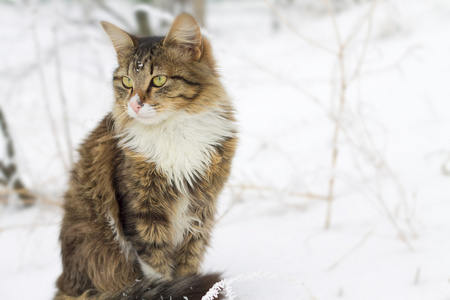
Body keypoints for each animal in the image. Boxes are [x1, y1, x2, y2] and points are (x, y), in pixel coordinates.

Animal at [53, 12, 239, 298]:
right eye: (127, 82)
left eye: (159, 80)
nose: (134, 104)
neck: (174, 131)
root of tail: (65, 285)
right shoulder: (143, 214)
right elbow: (158, 271)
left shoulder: (199, 212)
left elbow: (187, 267)